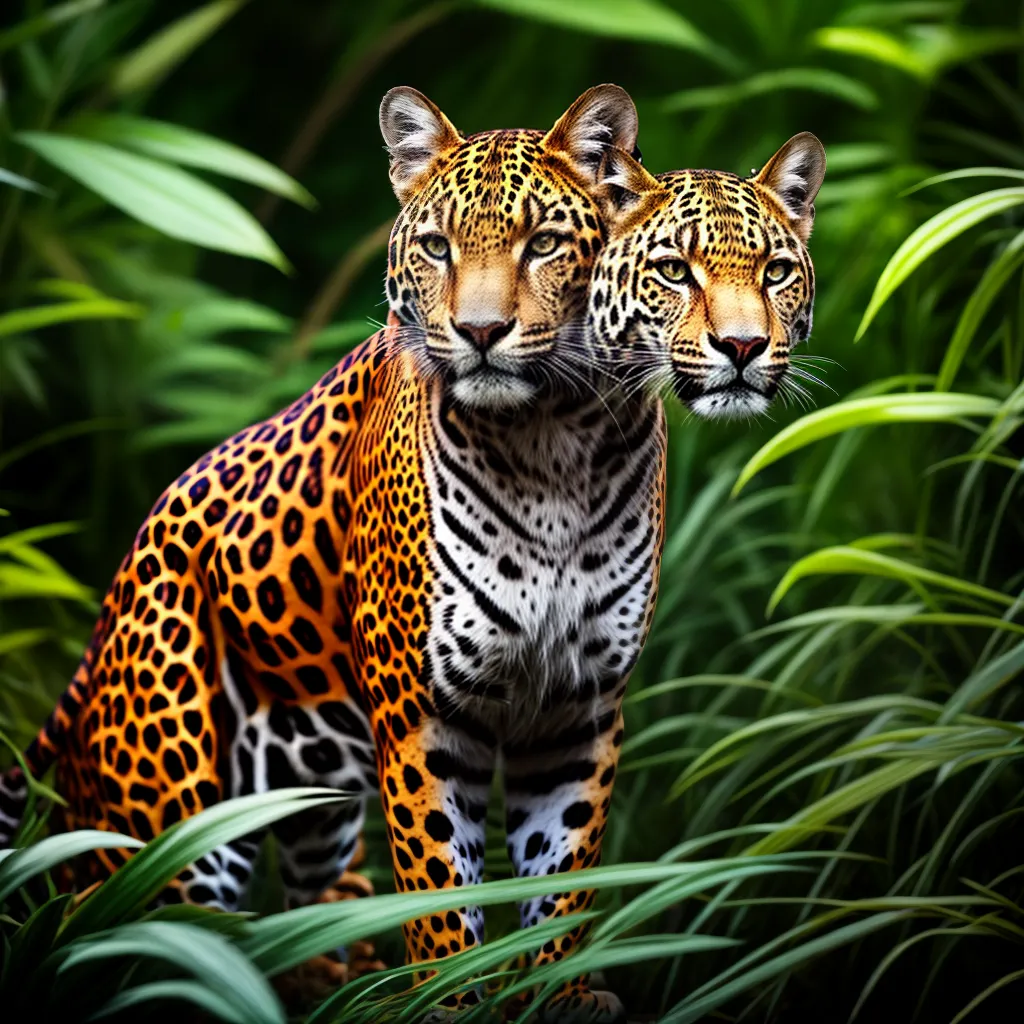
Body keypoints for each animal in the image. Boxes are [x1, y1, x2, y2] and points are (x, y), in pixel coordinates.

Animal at [0, 84, 665, 1023]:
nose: (481, 332)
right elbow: (440, 881)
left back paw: (326, 967)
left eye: (543, 244)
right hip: (167, 805)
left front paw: (558, 988)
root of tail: (107, 612)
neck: (551, 446)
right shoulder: (423, 713)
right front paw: (450, 997)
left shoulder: (580, 708)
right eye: (436, 247)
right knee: (132, 927)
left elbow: (562, 872)